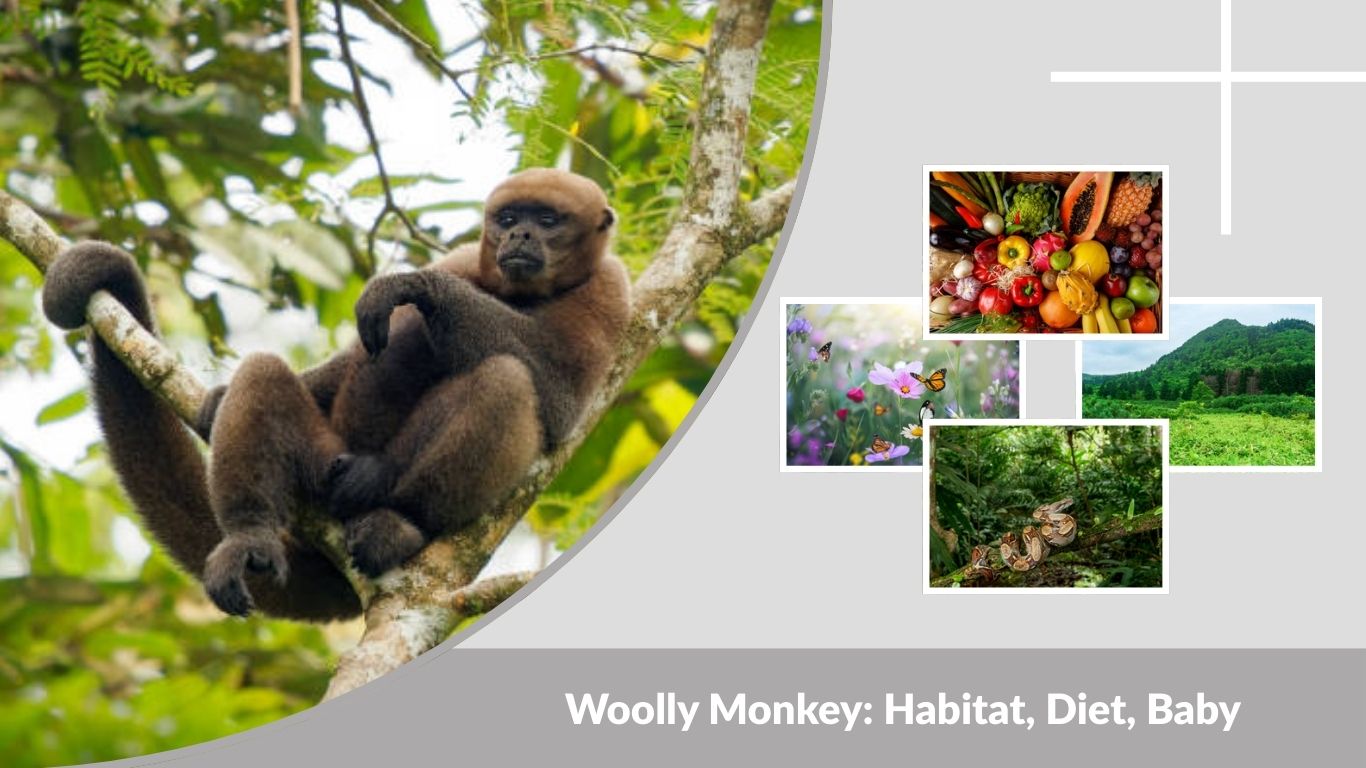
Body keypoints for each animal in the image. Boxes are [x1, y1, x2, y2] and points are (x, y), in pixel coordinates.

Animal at [41, 168, 631, 619]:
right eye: (507, 219)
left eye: (548, 221)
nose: (520, 237)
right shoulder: (466, 259)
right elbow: (350, 360)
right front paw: (221, 396)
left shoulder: (612, 292)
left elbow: (558, 397)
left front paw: (412, 287)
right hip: (322, 455)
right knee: (269, 375)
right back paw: (249, 537)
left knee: (506, 379)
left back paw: (396, 514)